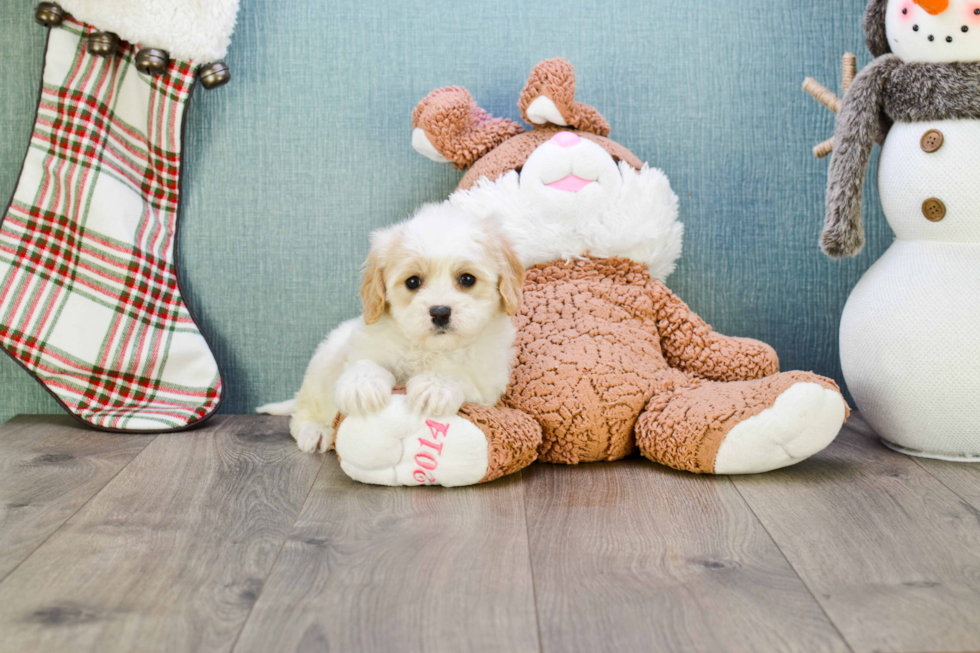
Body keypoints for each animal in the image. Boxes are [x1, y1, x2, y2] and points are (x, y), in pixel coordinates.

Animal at [256, 204, 524, 454]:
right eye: (413, 282)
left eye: (467, 279)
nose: (440, 312)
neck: (430, 349)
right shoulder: (365, 344)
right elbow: (365, 363)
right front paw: (361, 386)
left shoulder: (488, 380)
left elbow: (458, 374)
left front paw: (435, 386)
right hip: (322, 365)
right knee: (302, 412)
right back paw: (315, 430)